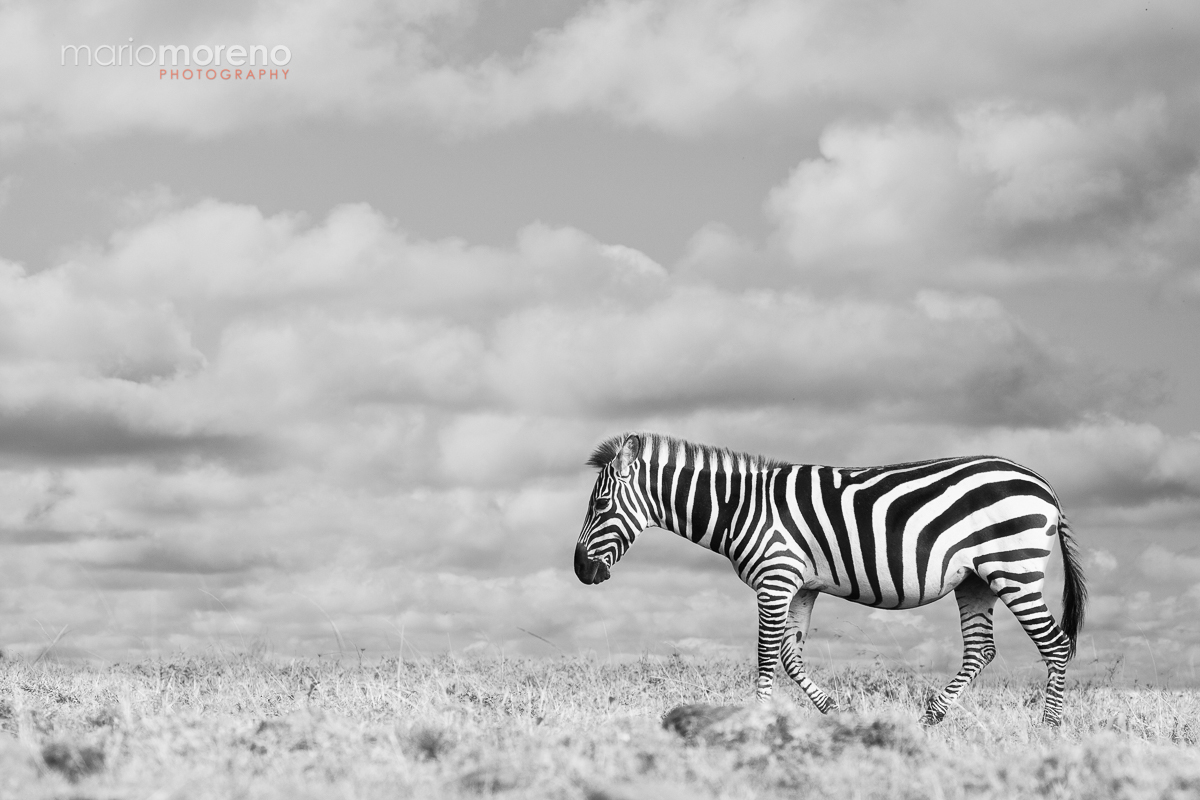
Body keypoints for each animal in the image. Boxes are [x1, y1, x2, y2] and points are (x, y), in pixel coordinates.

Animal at [573, 432, 1087, 726]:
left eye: (599, 506)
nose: (580, 570)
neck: (742, 508)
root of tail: (1044, 485)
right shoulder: (799, 586)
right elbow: (789, 655)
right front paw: (834, 711)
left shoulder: (775, 577)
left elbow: (765, 656)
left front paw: (758, 719)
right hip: (975, 580)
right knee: (982, 649)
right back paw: (933, 714)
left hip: (1013, 568)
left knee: (1056, 644)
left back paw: (1049, 727)